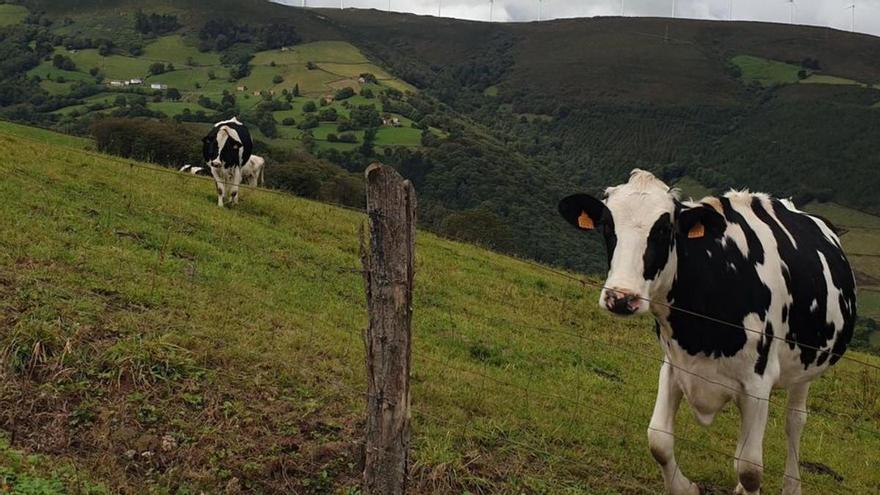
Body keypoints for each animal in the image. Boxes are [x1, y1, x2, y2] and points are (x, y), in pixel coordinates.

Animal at [560, 170, 856, 495]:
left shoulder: (758, 381)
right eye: (607, 226)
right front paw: (685, 488)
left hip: (807, 366)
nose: (621, 298)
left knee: (795, 421)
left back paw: (792, 486)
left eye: (664, 229)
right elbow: (658, 440)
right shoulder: (675, 365)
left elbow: (750, 469)